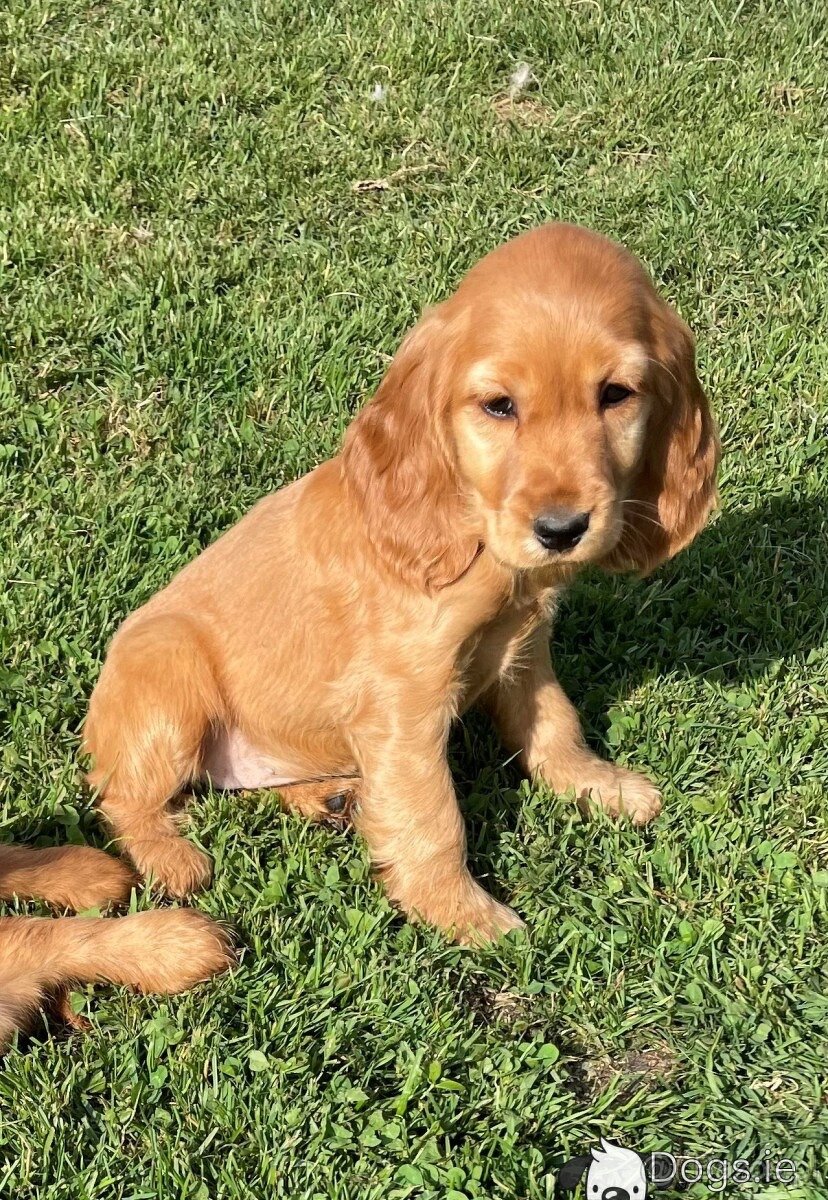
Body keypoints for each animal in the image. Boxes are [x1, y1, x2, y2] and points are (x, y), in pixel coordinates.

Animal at [82, 220, 715, 940]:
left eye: (615, 395)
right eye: (499, 406)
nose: (562, 529)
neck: (479, 546)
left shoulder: (523, 649)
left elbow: (556, 724)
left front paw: (599, 785)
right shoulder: (403, 702)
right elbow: (431, 815)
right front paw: (466, 914)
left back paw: (327, 796)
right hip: (170, 670)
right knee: (123, 796)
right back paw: (172, 854)